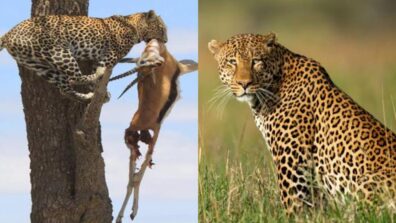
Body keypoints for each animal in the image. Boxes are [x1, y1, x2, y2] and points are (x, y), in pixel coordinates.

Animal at [0, 9, 167, 102]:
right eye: (161, 28)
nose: (165, 41)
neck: (133, 26)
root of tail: (8, 34)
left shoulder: (97, 58)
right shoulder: (110, 55)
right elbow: (102, 71)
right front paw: (101, 87)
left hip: (40, 66)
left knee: (65, 88)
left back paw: (86, 96)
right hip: (60, 51)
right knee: (75, 77)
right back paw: (93, 83)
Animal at [110, 39, 198, 221]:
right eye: (143, 63)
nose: (155, 62)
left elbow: (137, 176)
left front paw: (131, 212)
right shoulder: (152, 135)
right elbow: (136, 176)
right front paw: (130, 213)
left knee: (134, 176)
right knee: (133, 176)